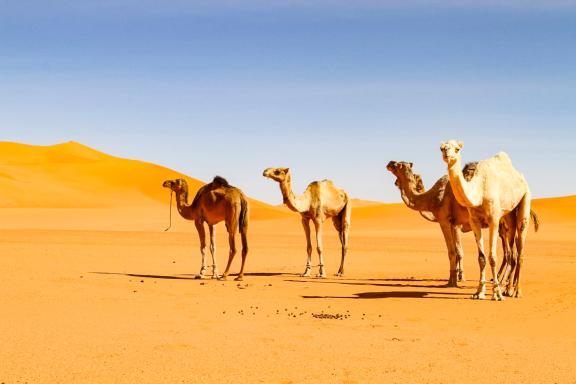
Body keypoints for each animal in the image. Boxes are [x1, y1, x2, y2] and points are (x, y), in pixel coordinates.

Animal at [440, 141, 532, 300]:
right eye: (442, 148)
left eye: (457, 149)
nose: (447, 155)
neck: (479, 190)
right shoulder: (474, 221)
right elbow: (481, 258)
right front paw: (479, 292)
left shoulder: (493, 220)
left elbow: (492, 257)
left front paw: (496, 293)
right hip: (509, 215)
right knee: (512, 251)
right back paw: (508, 289)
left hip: (526, 197)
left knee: (520, 246)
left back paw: (517, 291)